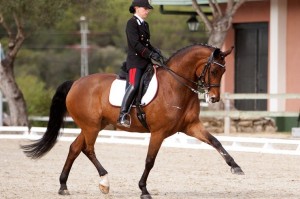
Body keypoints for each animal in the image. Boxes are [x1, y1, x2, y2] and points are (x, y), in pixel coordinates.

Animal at [22, 44, 244, 199]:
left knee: (75, 148)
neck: (176, 86)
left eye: (224, 71)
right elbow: (150, 160)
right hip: (91, 126)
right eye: (213, 71)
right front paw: (143, 189)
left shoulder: (191, 126)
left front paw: (235, 167)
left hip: (93, 126)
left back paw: (63, 186)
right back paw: (105, 182)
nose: (214, 98)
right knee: (88, 149)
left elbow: (216, 142)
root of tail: (76, 82)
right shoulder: (159, 132)